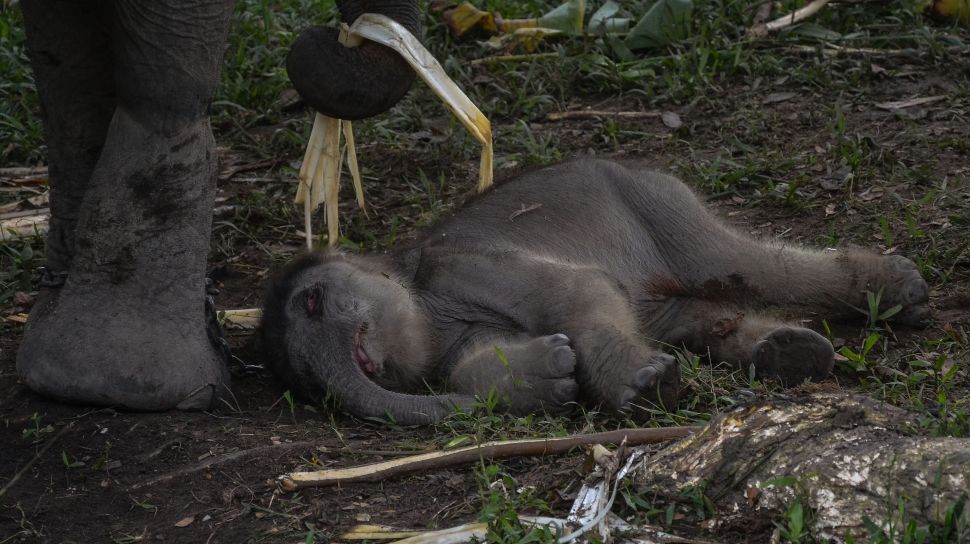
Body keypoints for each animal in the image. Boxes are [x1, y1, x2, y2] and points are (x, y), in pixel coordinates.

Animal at [260, 159, 932, 422]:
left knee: (741, 263)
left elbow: (582, 290)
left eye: (312, 302)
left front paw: (647, 388)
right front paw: (556, 374)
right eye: (303, 381)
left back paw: (907, 292)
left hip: (658, 203)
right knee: (694, 315)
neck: (397, 261)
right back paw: (791, 354)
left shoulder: (462, 264)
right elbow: (471, 366)